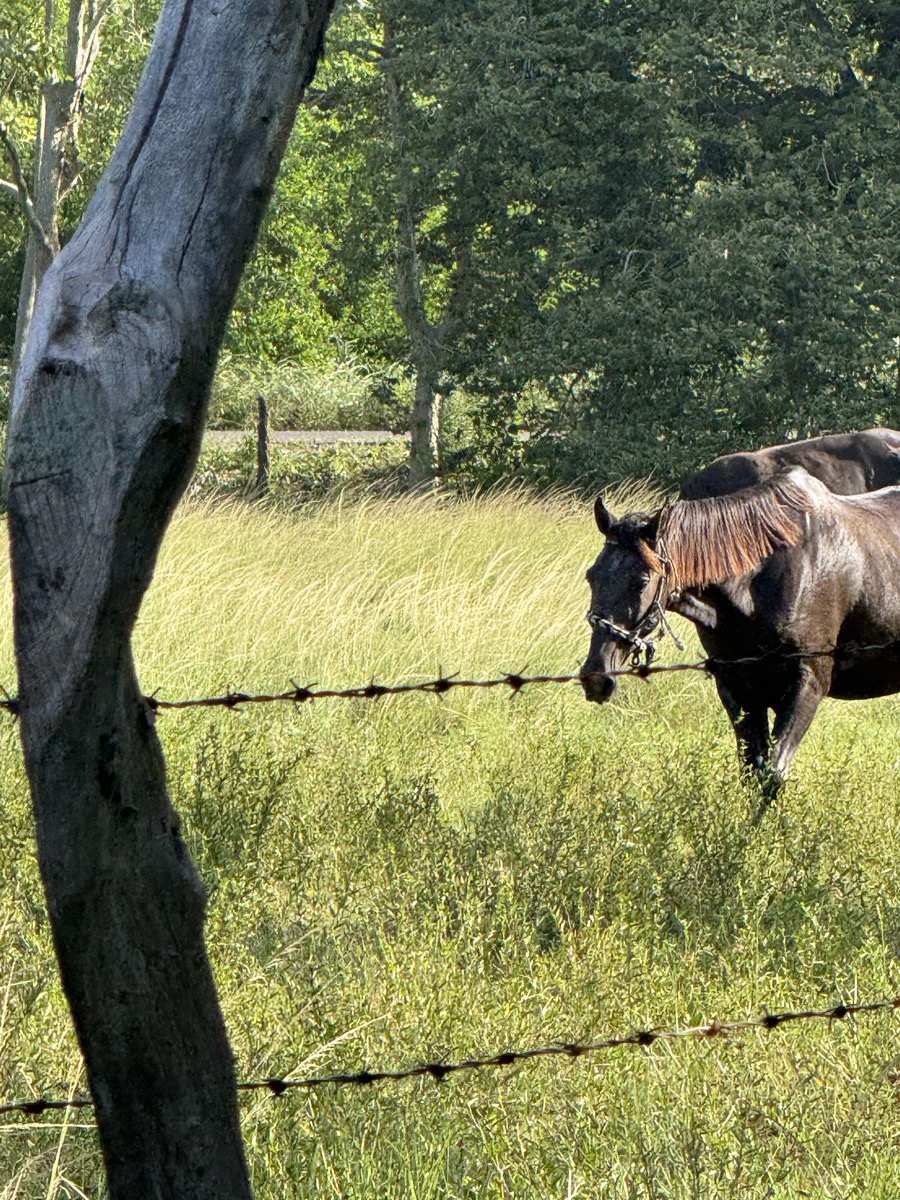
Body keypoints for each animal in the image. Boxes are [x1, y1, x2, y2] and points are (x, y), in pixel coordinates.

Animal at [580, 467, 900, 790]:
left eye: (642, 581)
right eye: (591, 576)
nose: (596, 677)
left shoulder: (808, 683)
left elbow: (773, 775)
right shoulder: (738, 689)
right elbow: (752, 772)